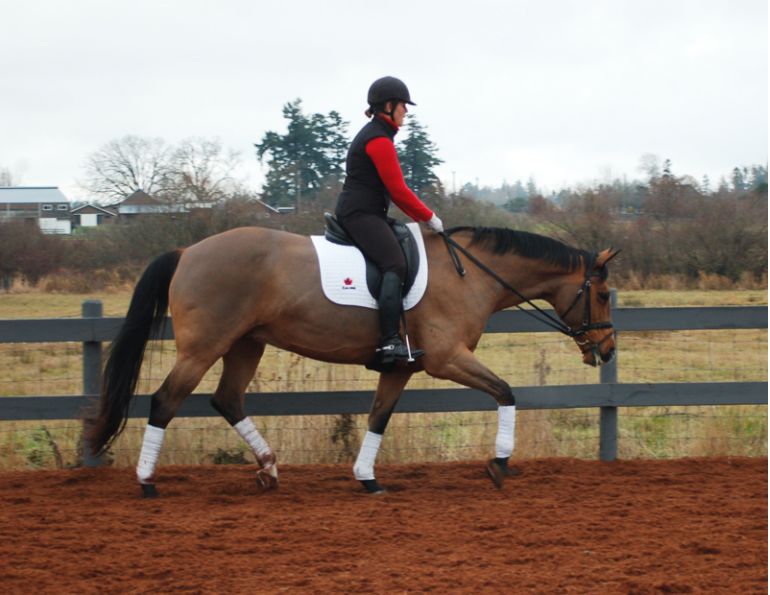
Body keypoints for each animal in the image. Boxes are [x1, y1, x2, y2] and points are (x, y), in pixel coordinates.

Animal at [86, 223, 619, 497]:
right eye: (604, 295)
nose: (608, 349)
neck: (471, 273)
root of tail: (187, 251)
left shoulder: (402, 366)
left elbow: (378, 417)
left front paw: (368, 478)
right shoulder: (447, 358)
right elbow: (506, 392)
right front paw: (500, 463)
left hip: (246, 343)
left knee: (228, 400)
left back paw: (269, 470)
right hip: (204, 347)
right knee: (164, 401)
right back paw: (147, 482)